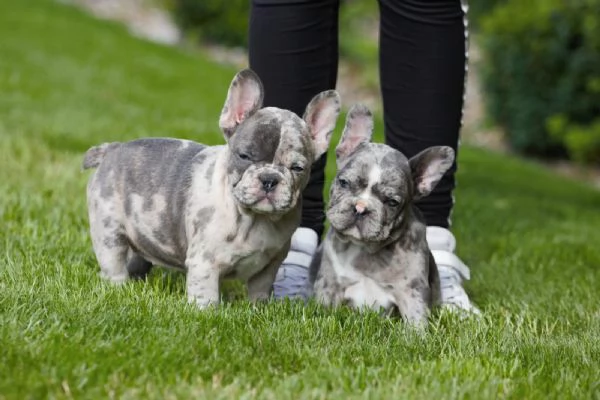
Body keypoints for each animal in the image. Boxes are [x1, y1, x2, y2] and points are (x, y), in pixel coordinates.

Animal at [82, 68, 340, 306]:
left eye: (298, 168)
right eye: (244, 156)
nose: (269, 179)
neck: (253, 219)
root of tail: (113, 148)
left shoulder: (268, 267)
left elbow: (259, 292)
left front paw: (259, 309)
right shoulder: (205, 263)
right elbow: (206, 296)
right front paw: (205, 312)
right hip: (109, 231)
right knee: (113, 263)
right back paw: (119, 287)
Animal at [312, 104, 452, 326]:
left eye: (392, 202)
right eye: (343, 182)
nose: (360, 207)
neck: (366, 251)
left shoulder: (412, 292)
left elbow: (416, 323)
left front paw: (417, 336)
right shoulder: (329, 285)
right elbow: (322, 315)